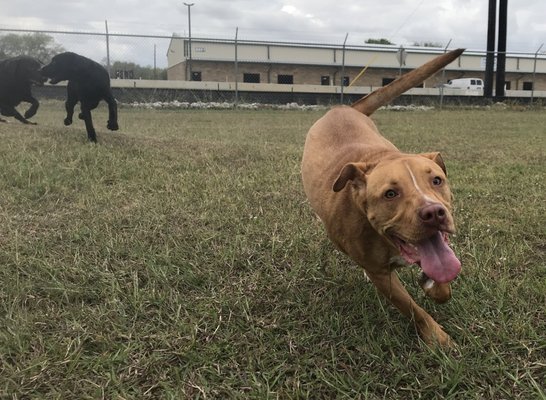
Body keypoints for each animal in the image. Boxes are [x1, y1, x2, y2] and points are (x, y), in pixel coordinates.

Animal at [300, 47, 462, 346]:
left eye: (437, 180)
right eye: (390, 193)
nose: (434, 212)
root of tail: (343, 109)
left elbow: (443, 281)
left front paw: (433, 286)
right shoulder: (381, 275)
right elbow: (413, 309)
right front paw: (438, 339)